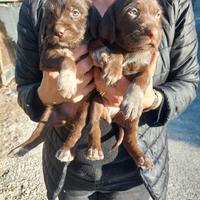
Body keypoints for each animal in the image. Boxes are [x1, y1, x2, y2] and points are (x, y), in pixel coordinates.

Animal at [8, 0, 103, 162]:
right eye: (51, 14)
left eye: (75, 13)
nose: (58, 31)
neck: (71, 46)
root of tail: (67, 118)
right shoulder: (47, 56)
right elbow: (66, 59)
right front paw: (67, 84)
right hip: (48, 114)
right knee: (39, 134)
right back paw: (21, 148)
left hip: (84, 109)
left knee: (79, 129)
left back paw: (66, 150)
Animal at [89, 0, 162, 169]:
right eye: (133, 12)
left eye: (158, 15)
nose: (155, 34)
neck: (131, 51)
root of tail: (115, 118)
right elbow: (111, 48)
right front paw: (112, 68)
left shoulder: (146, 68)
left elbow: (141, 81)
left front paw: (132, 101)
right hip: (96, 104)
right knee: (94, 127)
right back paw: (95, 149)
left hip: (134, 119)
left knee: (130, 139)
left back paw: (141, 157)